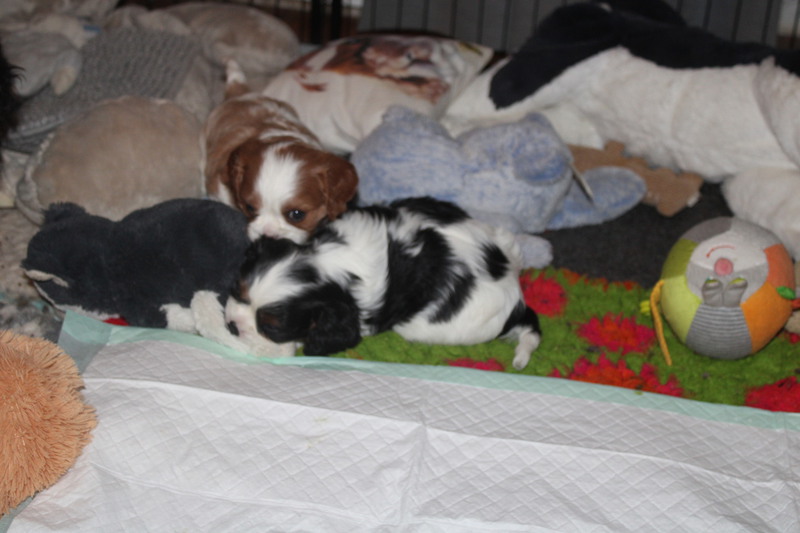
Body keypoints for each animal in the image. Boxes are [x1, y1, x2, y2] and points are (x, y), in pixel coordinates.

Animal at [226, 196, 541, 369]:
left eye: (271, 327)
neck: (328, 260)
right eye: (237, 291)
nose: (231, 325)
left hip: (431, 327)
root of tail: (517, 298)